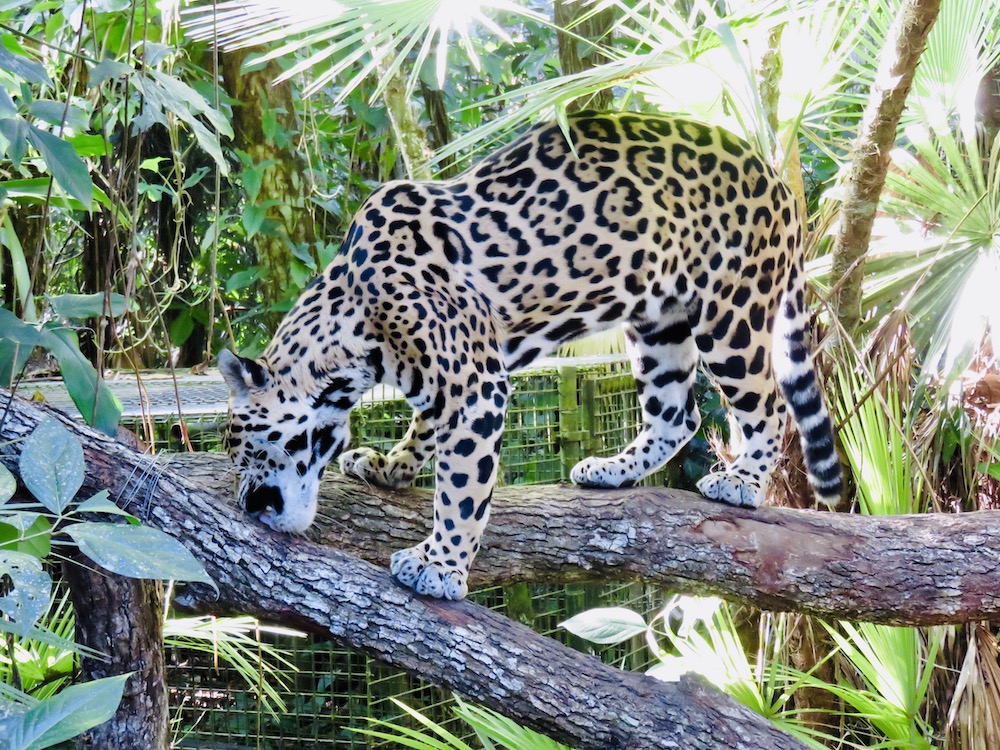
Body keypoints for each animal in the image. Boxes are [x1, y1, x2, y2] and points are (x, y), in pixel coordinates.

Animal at [221, 111, 844, 604]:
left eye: (248, 448)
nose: (250, 507)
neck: (350, 330)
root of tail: (773, 175)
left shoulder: (475, 387)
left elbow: (462, 489)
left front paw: (438, 566)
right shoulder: (442, 383)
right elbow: (423, 428)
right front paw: (390, 467)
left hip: (731, 315)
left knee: (769, 406)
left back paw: (742, 481)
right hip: (658, 321)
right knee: (677, 414)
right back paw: (611, 471)